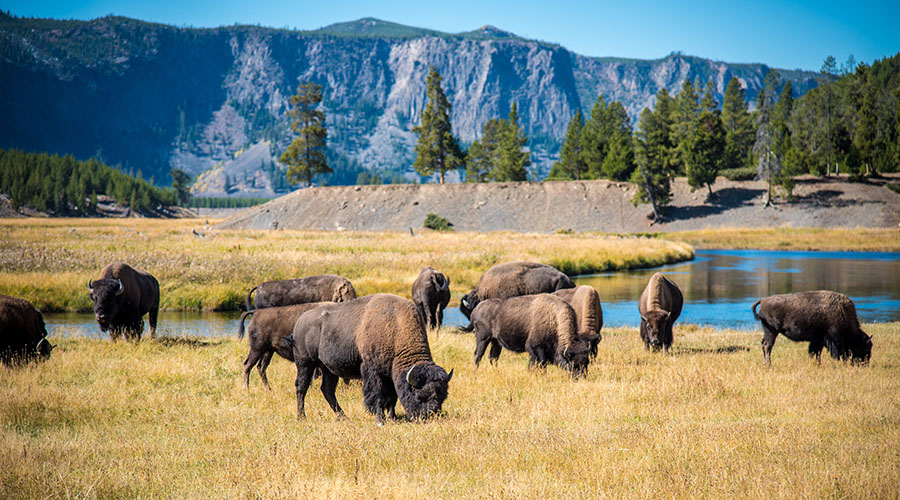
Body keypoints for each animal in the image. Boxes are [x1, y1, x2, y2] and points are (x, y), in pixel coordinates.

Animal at [292, 294, 454, 424]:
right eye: (420, 396)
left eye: (443, 396)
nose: (430, 416)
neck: (395, 327)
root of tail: (299, 321)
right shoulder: (373, 372)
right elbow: (378, 395)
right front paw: (380, 420)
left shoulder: (390, 374)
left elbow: (392, 397)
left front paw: (392, 417)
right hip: (305, 363)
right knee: (301, 387)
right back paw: (301, 417)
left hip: (328, 369)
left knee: (327, 390)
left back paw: (343, 417)